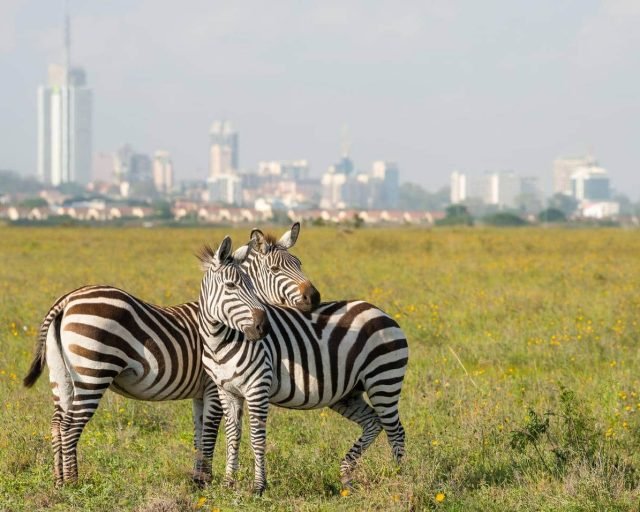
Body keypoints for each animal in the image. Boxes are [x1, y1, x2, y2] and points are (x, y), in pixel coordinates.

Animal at [22, 224, 317, 487]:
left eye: (299, 263)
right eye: (275, 269)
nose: (314, 297)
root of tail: (67, 300)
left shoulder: (201, 392)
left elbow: (199, 433)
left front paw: (198, 479)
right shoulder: (213, 386)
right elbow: (211, 431)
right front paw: (205, 481)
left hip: (61, 376)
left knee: (57, 423)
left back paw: (58, 481)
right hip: (93, 373)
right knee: (71, 426)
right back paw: (73, 482)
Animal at [198, 259, 409, 494]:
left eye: (251, 285)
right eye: (231, 286)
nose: (263, 328)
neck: (220, 342)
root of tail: (381, 312)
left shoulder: (257, 388)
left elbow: (257, 439)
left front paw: (259, 487)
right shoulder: (227, 391)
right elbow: (232, 437)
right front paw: (228, 484)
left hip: (384, 379)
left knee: (396, 431)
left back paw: (397, 478)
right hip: (347, 394)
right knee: (373, 422)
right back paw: (347, 475)